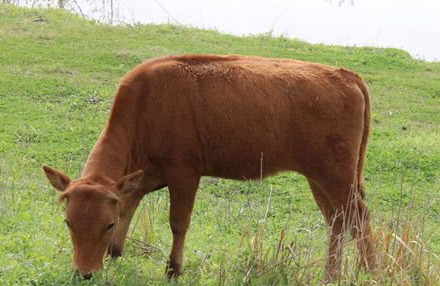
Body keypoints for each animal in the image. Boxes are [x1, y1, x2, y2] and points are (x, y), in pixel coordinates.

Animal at [43, 54, 376, 282]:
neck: (145, 104)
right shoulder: (138, 179)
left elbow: (178, 223)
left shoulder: (184, 174)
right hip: (318, 178)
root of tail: (345, 75)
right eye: (68, 223)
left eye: (106, 225)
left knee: (359, 217)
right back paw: (331, 275)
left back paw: (369, 271)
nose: (84, 273)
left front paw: (173, 269)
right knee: (338, 220)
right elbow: (129, 209)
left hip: (336, 176)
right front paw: (115, 255)